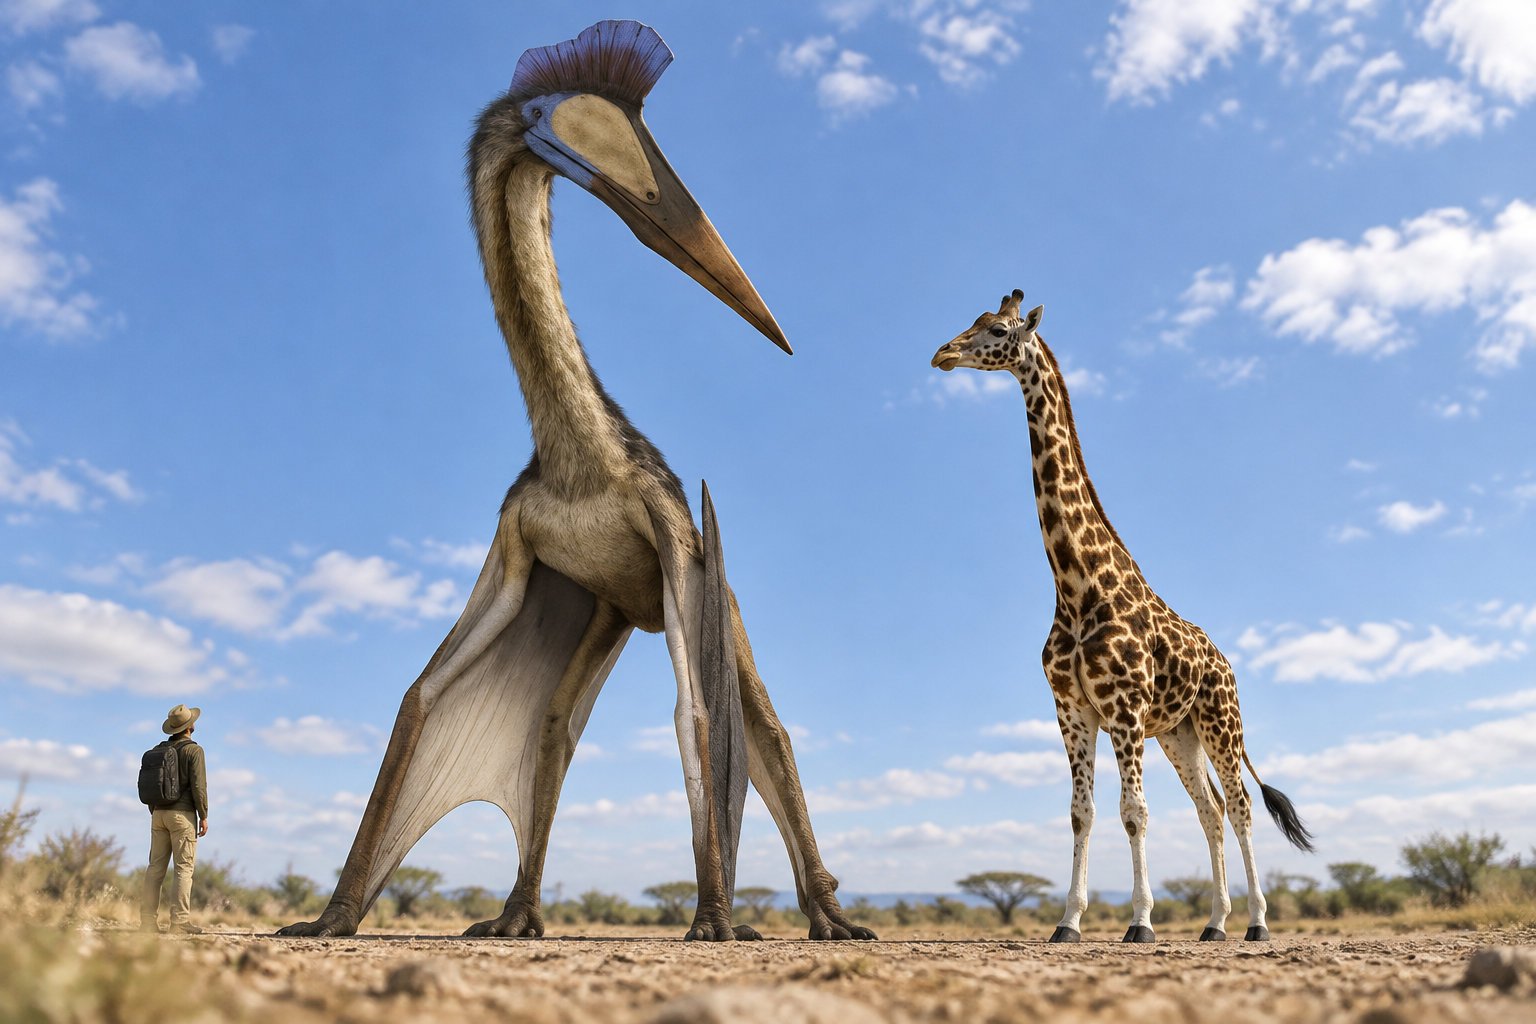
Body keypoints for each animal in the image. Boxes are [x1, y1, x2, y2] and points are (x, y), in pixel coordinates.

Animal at [931, 290, 1313, 943]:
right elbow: (1081, 813)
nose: (943, 353)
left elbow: (1133, 812)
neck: (1076, 586)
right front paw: (1068, 922)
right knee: (1210, 810)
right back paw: (1215, 924)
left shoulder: (1125, 710)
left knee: (1239, 807)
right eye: (974, 322)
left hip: (1220, 721)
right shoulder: (1073, 710)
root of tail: (1226, 662)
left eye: (999, 330)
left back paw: (1257, 924)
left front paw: (1140, 922)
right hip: (1179, 734)